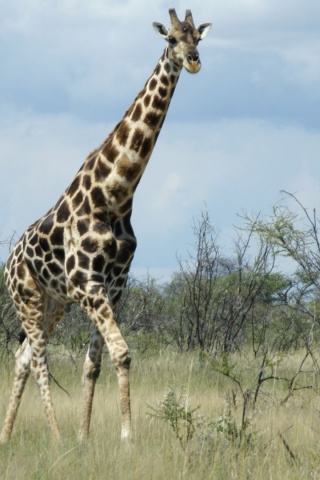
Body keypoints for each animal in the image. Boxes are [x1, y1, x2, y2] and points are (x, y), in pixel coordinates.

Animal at [0, 8, 212, 442]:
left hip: (53, 302)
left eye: (198, 37)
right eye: (171, 39)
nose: (194, 60)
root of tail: (8, 263)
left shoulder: (113, 289)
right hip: (26, 298)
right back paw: (55, 435)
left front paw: (86, 435)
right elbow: (122, 352)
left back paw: (7, 435)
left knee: (23, 356)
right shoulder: (89, 284)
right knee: (40, 359)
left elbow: (94, 362)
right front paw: (125, 436)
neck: (115, 196)